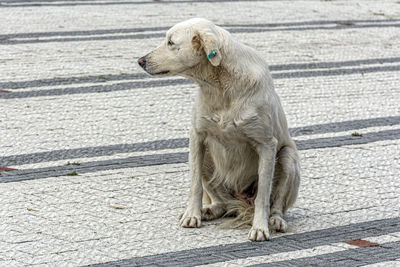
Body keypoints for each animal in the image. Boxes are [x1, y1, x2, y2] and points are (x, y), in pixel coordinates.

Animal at [139, 17, 298, 242]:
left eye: (170, 42)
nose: (140, 60)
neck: (221, 87)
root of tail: (240, 202)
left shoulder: (267, 144)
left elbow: (263, 195)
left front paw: (260, 226)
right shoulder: (197, 136)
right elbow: (195, 185)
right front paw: (192, 214)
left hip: (287, 157)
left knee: (277, 204)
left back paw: (275, 220)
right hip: (207, 160)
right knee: (221, 204)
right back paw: (208, 210)